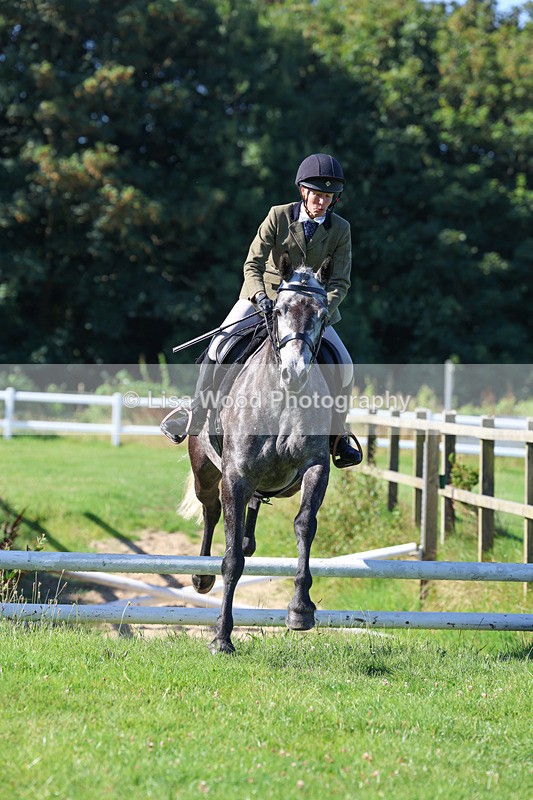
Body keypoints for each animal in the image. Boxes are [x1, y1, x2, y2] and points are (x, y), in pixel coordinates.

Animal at [180, 254, 334, 654]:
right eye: (278, 310)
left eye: (322, 313)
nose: (294, 374)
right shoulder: (235, 476)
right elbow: (231, 558)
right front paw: (221, 637)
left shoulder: (316, 467)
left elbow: (305, 524)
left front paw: (300, 609)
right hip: (206, 471)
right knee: (211, 511)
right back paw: (200, 577)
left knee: (253, 508)